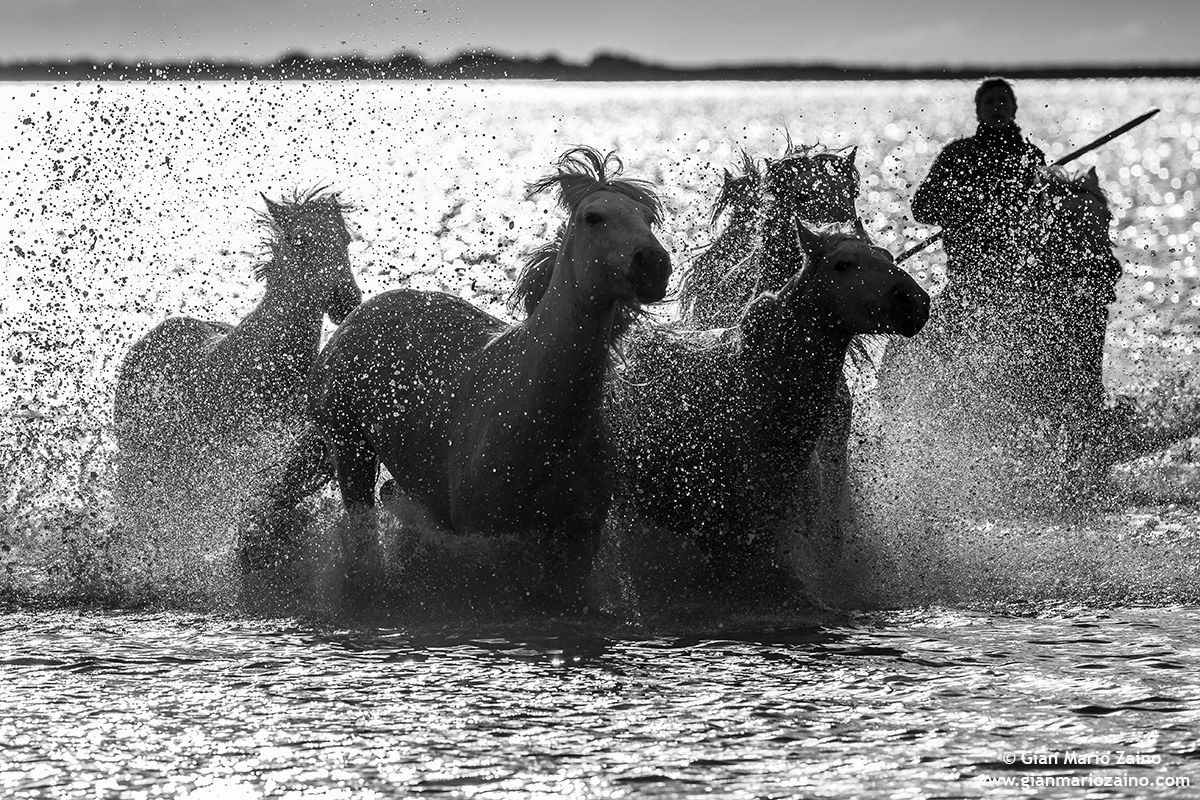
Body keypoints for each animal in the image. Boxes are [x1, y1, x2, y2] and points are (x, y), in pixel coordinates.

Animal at [306, 147, 672, 607]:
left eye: (648, 216)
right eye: (594, 216)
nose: (653, 265)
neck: (537, 414)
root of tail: (357, 315)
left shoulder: (578, 540)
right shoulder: (489, 539)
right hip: (349, 446)